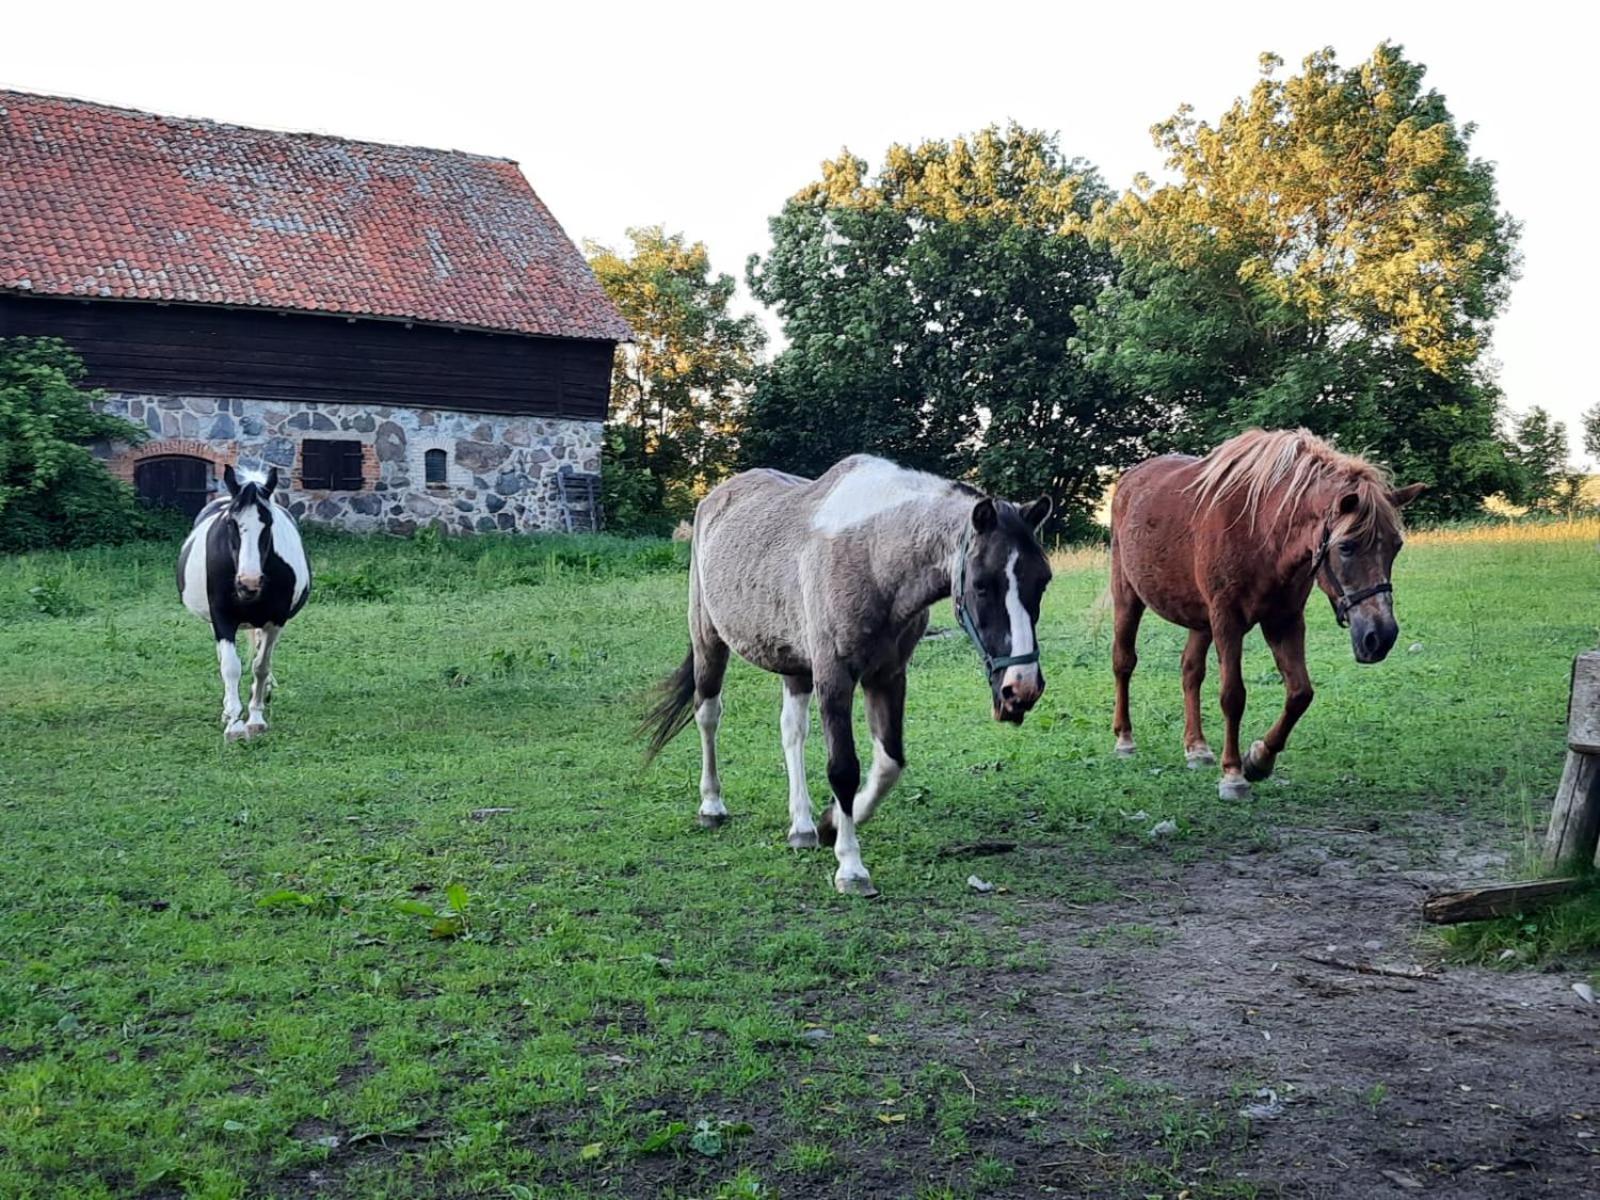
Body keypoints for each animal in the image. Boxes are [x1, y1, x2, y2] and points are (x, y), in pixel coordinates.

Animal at [643, 454, 1056, 896]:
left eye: (1043, 580)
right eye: (981, 584)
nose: (1021, 688)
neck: (872, 558)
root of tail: (713, 500)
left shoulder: (887, 676)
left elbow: (889, 763)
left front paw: (831, 824)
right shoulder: (835, 677)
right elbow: (843, 769)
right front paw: (851, 866)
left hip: (795, 667)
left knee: (792, 731)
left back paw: (802, 827)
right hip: (709, 641)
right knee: (708, 715)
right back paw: (712, 805)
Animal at [1113, 432, 1427, 800]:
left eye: (1396, 546)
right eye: (1346, 546)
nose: (1380, 636)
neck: (1261, 530)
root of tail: (1129, 480)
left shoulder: (1284, 620)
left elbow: (1300, 693)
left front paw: (1259, 759)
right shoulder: (1227, 620)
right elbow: (1233, 696)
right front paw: (1233, 775)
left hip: (1200, 620)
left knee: (1191, 671)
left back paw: (1197, 747)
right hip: (1127, 596)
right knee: (1124, 662)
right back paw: (1124, 740)